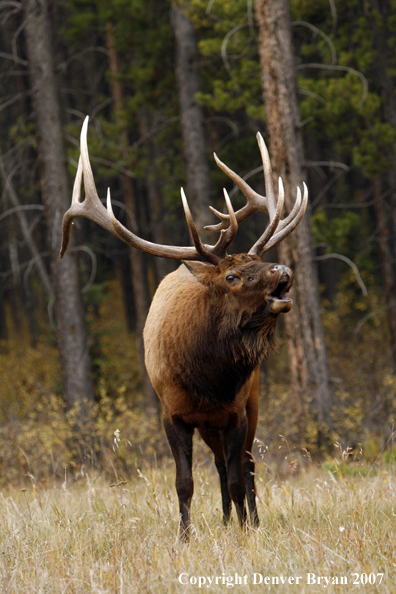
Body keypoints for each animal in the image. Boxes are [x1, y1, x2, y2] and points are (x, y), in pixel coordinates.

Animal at [60, 115, 308, 536]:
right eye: (232, 276)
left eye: (259, 261)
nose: (283, 270)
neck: (208, 379)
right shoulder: (171, 413)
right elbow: (185, 483)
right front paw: (185, 537)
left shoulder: (236, 411)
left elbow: (240, 478)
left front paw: (245, 531)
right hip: (208, 425)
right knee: (222, 466)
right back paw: (225, 520)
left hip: (252, 402)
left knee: (246, 467)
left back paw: (249, 521)